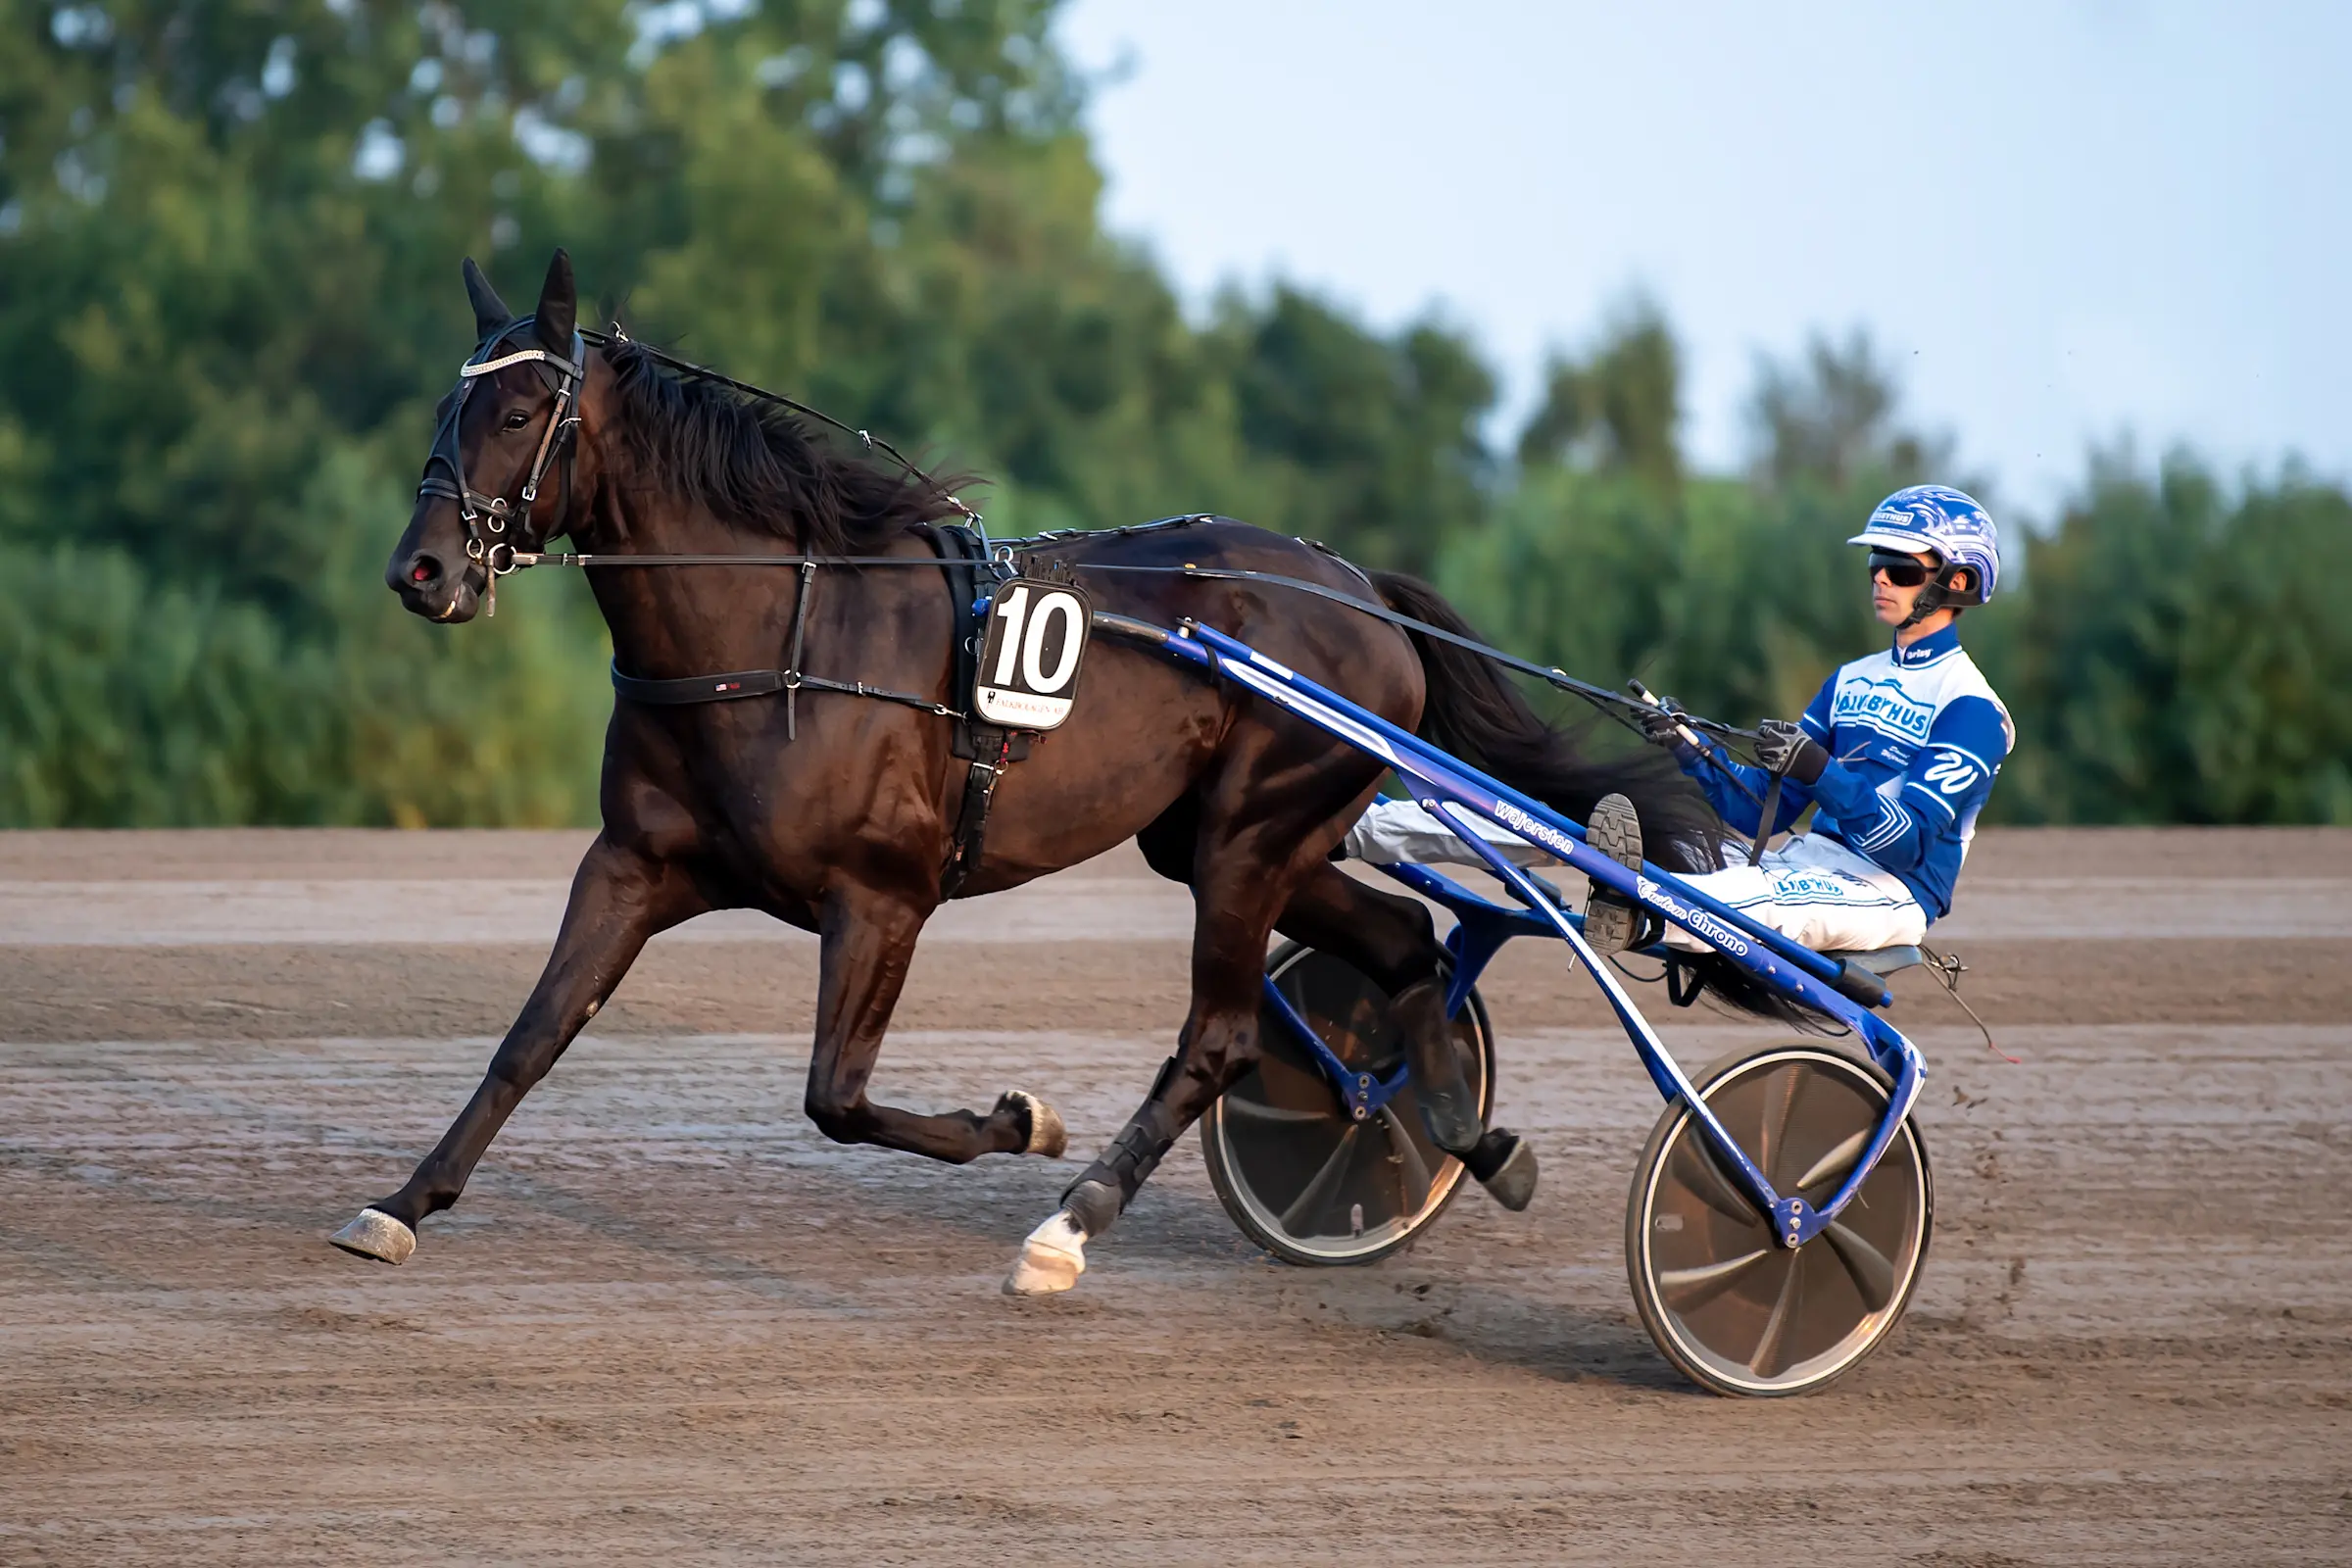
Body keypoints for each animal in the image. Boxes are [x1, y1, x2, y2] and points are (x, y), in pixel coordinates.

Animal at [341, 248, 1721, 1298]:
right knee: (1406, 948)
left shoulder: (883, 896)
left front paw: (1021, 1121)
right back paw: (1458, 1129)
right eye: (445, 411)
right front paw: (404, 1199)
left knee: (1223, 1034)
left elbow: (838, 1098)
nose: (418, 570)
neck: (774, 641)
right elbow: (530, 1037)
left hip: (1252, 838)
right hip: (1231, 839)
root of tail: (1360, 593)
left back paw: (1072, 1220)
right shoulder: (634, 863)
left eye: (521, 414)